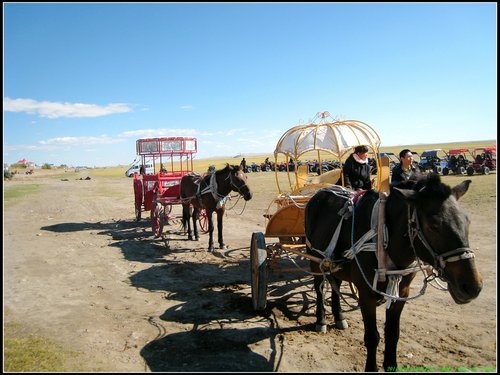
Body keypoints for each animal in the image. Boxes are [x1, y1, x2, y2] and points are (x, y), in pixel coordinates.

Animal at [302, 174, 482, 374]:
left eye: (467, 221)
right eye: (433, 225)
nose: (472, 287)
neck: (383, 235)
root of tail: (321, 191)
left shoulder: (402, 291)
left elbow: (392, 333)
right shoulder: (366, 293)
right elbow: (372, 336)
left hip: (334, 263)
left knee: (335, 286)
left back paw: (339, 317)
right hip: (314, 259)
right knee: (319, 288)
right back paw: (321, 321)